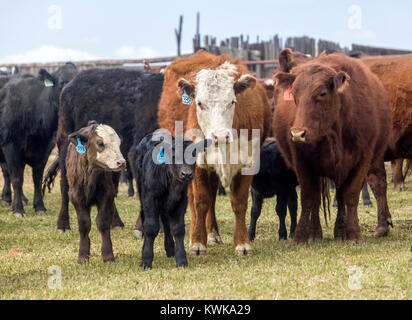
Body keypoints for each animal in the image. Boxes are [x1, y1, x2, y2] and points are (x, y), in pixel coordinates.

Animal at [0, 62, 77, 218]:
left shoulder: (45, 148)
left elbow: (37, 178)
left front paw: (40, 207)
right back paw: (7, 198)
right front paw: (18, 209)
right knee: (7, 173)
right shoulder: (10, 146)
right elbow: (16, 178)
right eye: (62, 82)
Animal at [135, 129, 211, 268]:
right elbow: (151, 227)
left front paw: (181, 259)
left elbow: (178, 228)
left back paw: (170, 248)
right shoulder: (150, 199)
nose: (186, 174)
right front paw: (146, 259)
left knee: (165, 221)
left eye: (194, 154)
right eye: (175, 155)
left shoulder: (181, 201)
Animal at [157, 50, 270, 255]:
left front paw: (242, 243)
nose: (220, 136)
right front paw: (197, 243)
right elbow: (201, 201)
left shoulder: (247, 163)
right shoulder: (198, 164)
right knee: (194, 199)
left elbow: (239, 202)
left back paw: (213, 234)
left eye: (232, 102)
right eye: (200, 103)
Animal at [274, 52, 392, 242]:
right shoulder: (302, 162)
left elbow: (351, 196)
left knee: (341, 196)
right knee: (317, 200)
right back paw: (315, 234)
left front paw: (353, 235)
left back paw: (340, 231)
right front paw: (300, 237)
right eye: (293, 93)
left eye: (322, 93)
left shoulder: (362, 161)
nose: (298, 134)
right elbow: (308, 197)